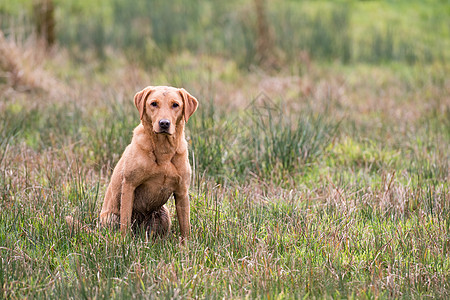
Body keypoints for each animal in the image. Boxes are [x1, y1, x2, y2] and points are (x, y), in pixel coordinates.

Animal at [100, 85, 199, 240]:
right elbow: (125, 221)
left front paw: (186, 245)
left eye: (175, 105)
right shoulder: (129, 185)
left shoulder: (182, 191)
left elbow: (185, 227)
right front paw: (124, 242)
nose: (164, 123)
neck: (163, 150)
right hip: (111, 217)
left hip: (163, 215)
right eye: (153, 103)